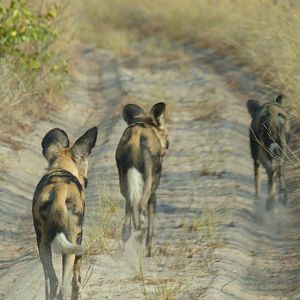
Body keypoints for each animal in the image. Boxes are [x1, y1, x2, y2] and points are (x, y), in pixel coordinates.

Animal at [32, 127, 98, 300]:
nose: (86, 180)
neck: (61, 167)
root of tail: (59, 189)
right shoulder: (78, 240)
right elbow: (77, 279)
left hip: (43, 243)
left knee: (53, 281)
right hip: (71, 243)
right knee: (63, 286)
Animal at [115, 102, 169, 256]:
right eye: (165, 134)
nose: (167, 144)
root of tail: (135, 135)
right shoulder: (153, 194)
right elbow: (151, 228)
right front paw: (149, 252)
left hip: (125, 185)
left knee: (127, 224)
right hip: (148, 187)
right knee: (141, 212)